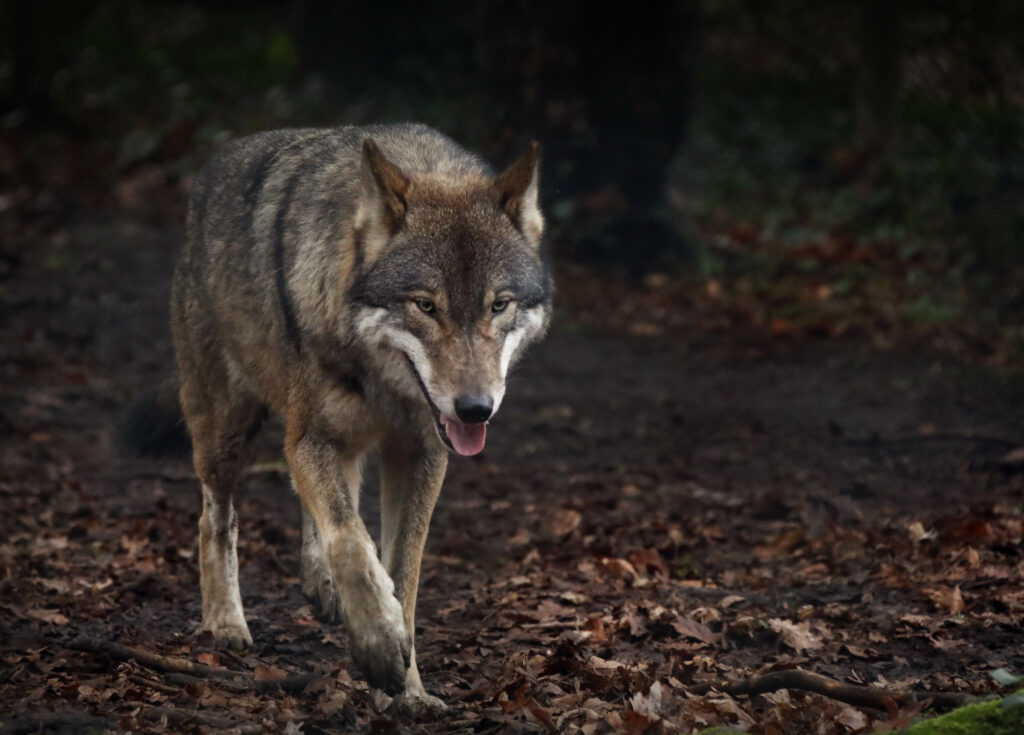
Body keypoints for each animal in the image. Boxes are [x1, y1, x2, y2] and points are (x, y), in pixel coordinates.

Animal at [124, 123, 552, 709]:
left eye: (498, 305)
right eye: (425, 306)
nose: (475, 408)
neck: (379, 380)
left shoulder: (421, 452)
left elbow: (401, 572)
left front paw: (409, 690)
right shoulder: (312, 438)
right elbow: (351, 541)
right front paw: (378, 645)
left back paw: (320, 586)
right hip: (225, 432)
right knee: (217, 518)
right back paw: (226, 622)